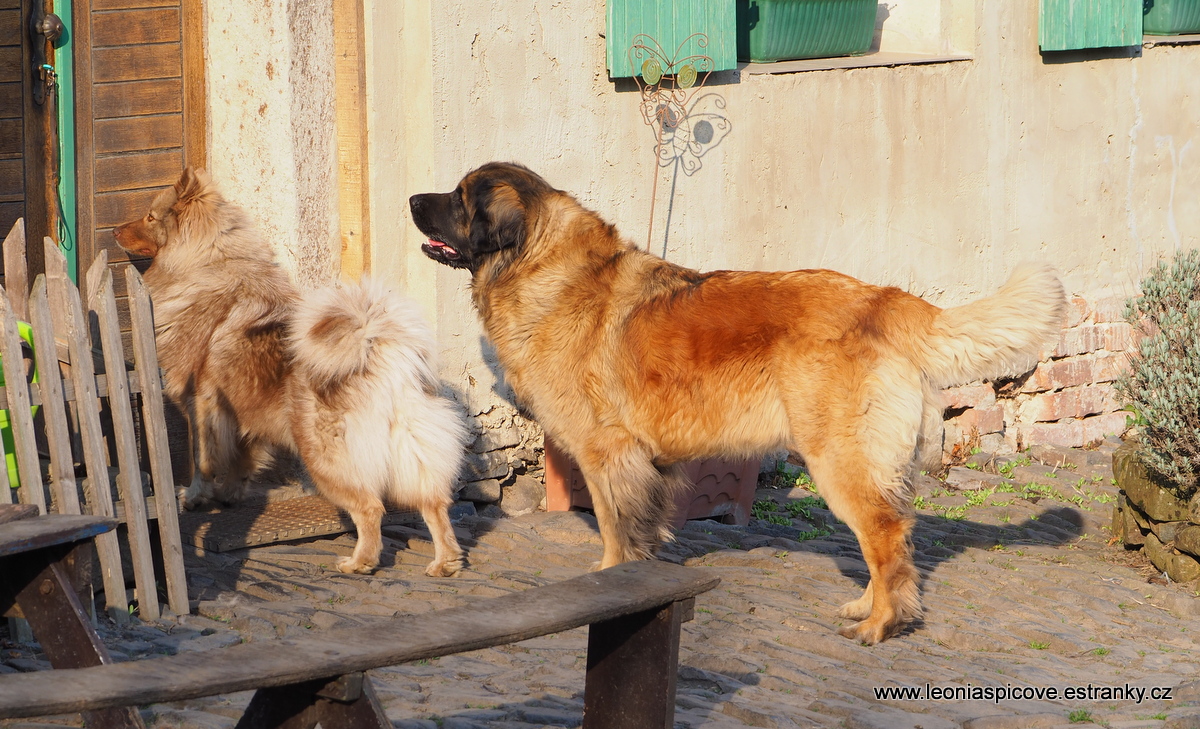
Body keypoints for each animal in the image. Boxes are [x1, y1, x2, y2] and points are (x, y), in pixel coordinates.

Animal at [113, 167, 468, 577]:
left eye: (150, 218)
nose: (114, 231)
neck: (210, 266)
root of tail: (381, 355)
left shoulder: (199, 405)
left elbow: (203, 461)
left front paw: (195, 498)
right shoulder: (239, 414)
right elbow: (239, 460)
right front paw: (230, 495)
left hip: (326, 460)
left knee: (370, 509)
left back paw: (360, 562)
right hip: (413, 452)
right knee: (435, 505)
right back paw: (445, 563)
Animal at [410, 161, 1060, 642]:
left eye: (460, 198)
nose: (413, 198)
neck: (542, 265)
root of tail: (884, 299)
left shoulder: (607, 454)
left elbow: (616, 532)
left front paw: (608, 589)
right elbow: (643, 533)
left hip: (839, 461)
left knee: (887, 537)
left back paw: (879, 625)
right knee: (890, 538)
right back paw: (865, 607)